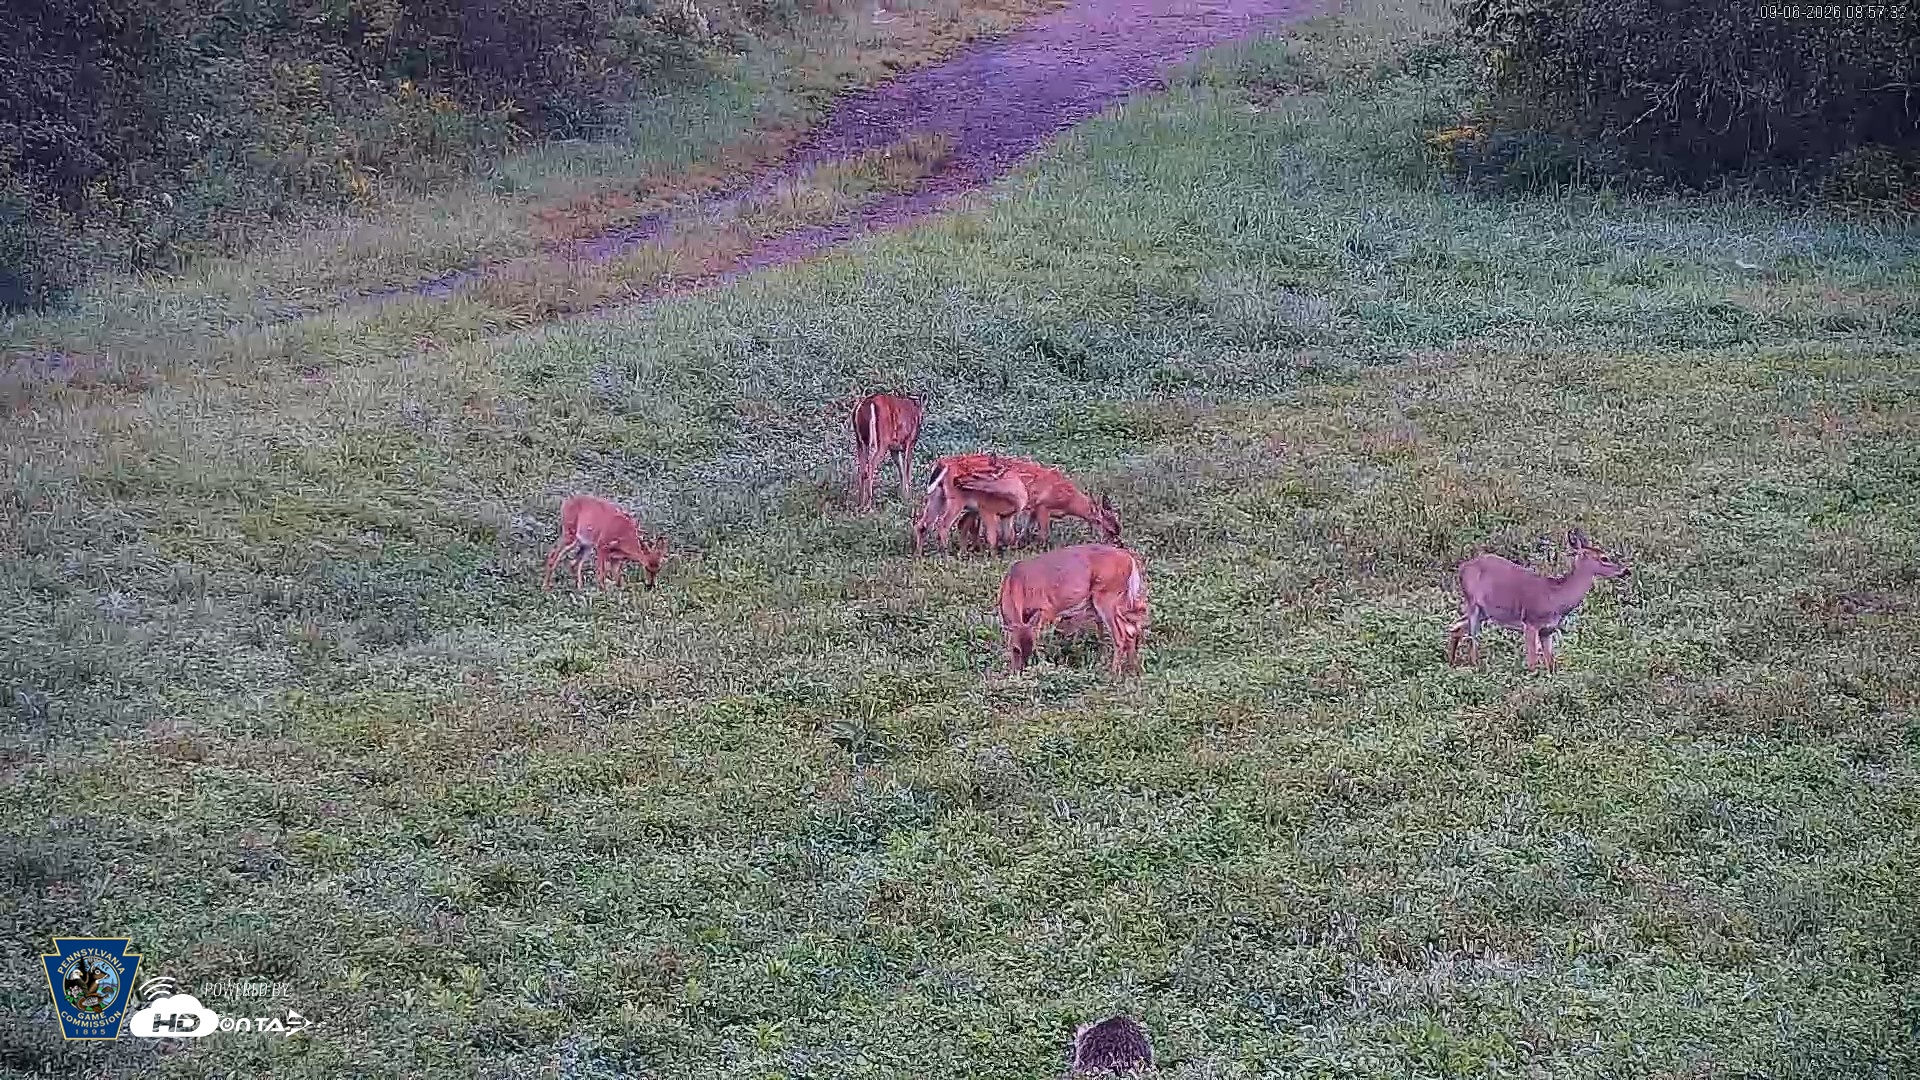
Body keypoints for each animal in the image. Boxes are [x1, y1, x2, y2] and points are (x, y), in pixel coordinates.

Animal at [998, 543, 1147, 676]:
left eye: (1031, 649)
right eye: (1015, 649)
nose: (1020, 672)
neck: (1016, 584)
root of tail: (1130, 559)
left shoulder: (1047, 610)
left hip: (1107, 596)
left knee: (1121, 635)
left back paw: (1113, 674)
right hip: (1121, 599)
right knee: (1131, 629)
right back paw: (1134, 670)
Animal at [1446, 528, 1631, 671]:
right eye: (1604, 558)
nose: (1626, 570)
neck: (1556, 598)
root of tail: (1462, 568)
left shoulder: (1547, 630)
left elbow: (1551, 664)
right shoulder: (1530, 622)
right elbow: (1532, 663)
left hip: (1485, 611)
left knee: (1456, 627)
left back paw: (1452, 663)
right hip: (1473, 603)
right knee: (1473, 637)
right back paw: (1474, 666)